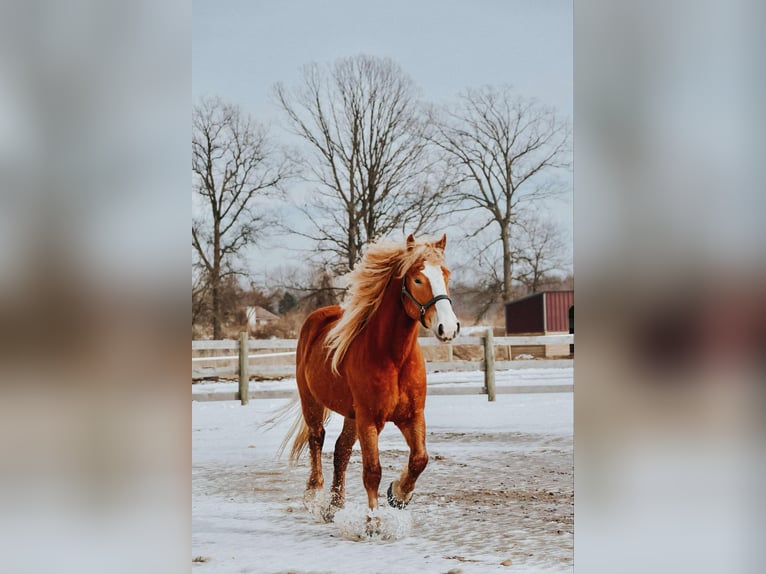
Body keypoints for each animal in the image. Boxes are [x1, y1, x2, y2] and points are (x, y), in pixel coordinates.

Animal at [282, 233, 460, 527]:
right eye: (417, 279)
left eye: (446, 274)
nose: (448, 328)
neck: (393, 357)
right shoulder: (370, 420)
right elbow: (372, 472)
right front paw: (374, 524)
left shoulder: (412, 416)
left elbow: (419, 459)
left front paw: (398, 494)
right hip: (313, 402)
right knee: (317, 440)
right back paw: (316, 498)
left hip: (350, 415)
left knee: (341, 451)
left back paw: (335, 507)